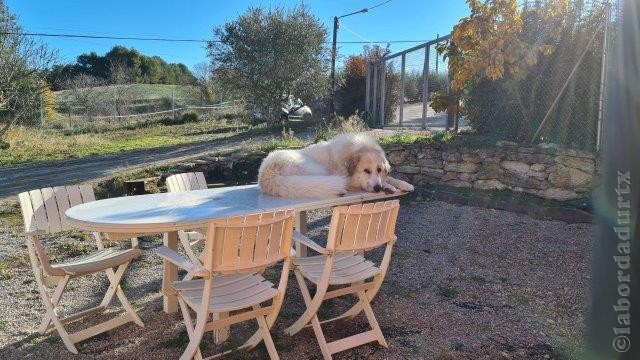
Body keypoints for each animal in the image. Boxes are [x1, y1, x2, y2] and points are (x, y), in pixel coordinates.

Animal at [258, 133, 416, 198]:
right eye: (366, 170)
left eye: (379, 169)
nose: (378, 189)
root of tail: (267, 173)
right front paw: (389, 187)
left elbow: (389, 177)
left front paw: (405, 184)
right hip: (317, 170)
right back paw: (340, 190)